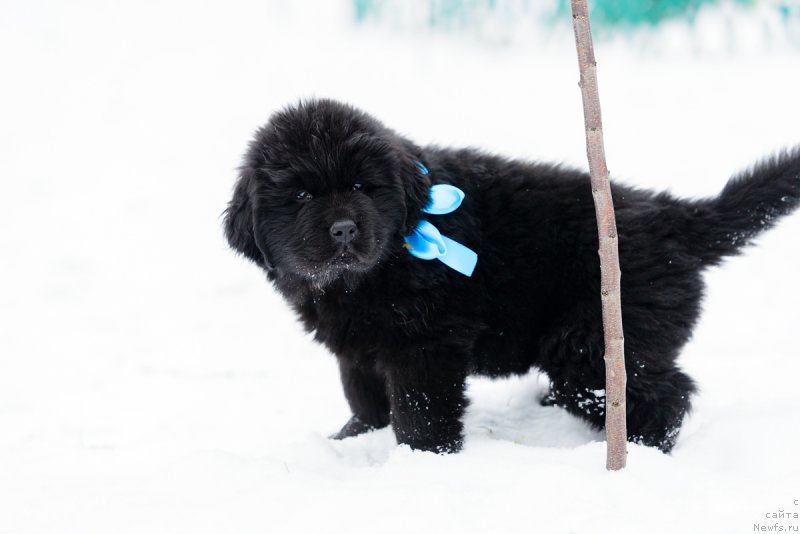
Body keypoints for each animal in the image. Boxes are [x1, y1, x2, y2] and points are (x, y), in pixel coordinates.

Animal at [227, 98, 800, 454]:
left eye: (362, 187)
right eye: (301, 195)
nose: (344, 229)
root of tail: (674, 217)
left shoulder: (426, 344)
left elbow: (420, 408)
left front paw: (423, 459)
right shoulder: (358, 346)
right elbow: (364, 396)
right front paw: (352, 439)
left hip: (596, 340)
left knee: (664, 393)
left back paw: (641, 451)